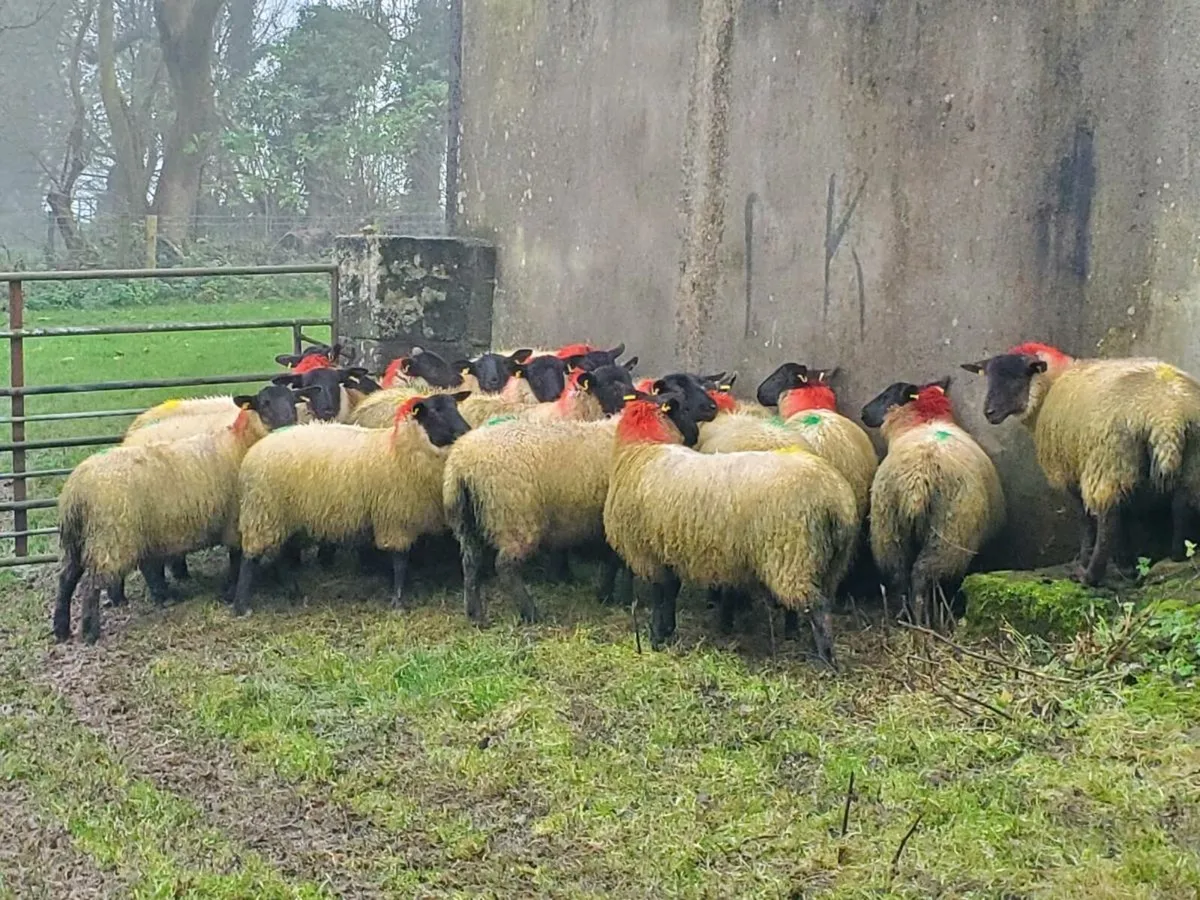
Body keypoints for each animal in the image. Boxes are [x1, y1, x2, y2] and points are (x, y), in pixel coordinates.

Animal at [53, 390, 288, 644]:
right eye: (264, 404)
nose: (288, 424)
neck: (239, 444)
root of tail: (76, 490)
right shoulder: (236, 519)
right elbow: (237, 559)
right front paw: (230, 592)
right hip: (113, 535)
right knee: (92, 583)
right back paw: (92, 630)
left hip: (83, 538)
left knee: (67, 578)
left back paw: (62, 628)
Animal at [232, 392, 472, 614]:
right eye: (435, 412)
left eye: (455, 405)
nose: (465, 431)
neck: (401, 449)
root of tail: (252, 453)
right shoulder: (394, 516)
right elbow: (400, 560)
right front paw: (398, 601)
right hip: (263, 510)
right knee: (250, 557)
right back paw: (242, 605)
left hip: (279, 515)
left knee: (278, 554)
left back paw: (294, 592)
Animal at [603, 395, 859, 667]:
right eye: (684, 405)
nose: (699, 428)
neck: (642, 450)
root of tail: (833, 498)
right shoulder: (669, 551)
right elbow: (670, 593)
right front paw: (668, 630)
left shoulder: (648, 552)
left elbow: (659, 596)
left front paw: (656, 638)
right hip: (831, 561)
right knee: (821, 600)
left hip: (791, 555)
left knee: (816, 606)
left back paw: (826, 659)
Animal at [861, 376, 1006, 628]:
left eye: (886, 395)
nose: (863, 413)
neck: (923, 422)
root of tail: (918, 479)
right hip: (947, 536)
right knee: (921, 575)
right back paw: (924, 622)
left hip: (890, 533)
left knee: (900, 575)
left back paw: (907, 619)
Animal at [962, 342, 1200, 585]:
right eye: (989, 378)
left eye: (1016, 378)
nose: (989, 413)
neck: (1051, 384)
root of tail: (1167, 414)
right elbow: (1125, 515)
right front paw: (1124, 562)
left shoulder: (1068, 470)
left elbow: (1085, 519)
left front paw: (1088, 559)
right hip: (1188, 456)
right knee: (1181, 504)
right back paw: (1177, 556)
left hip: (1106, 458)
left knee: (1108, 520)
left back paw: (1090, 575)